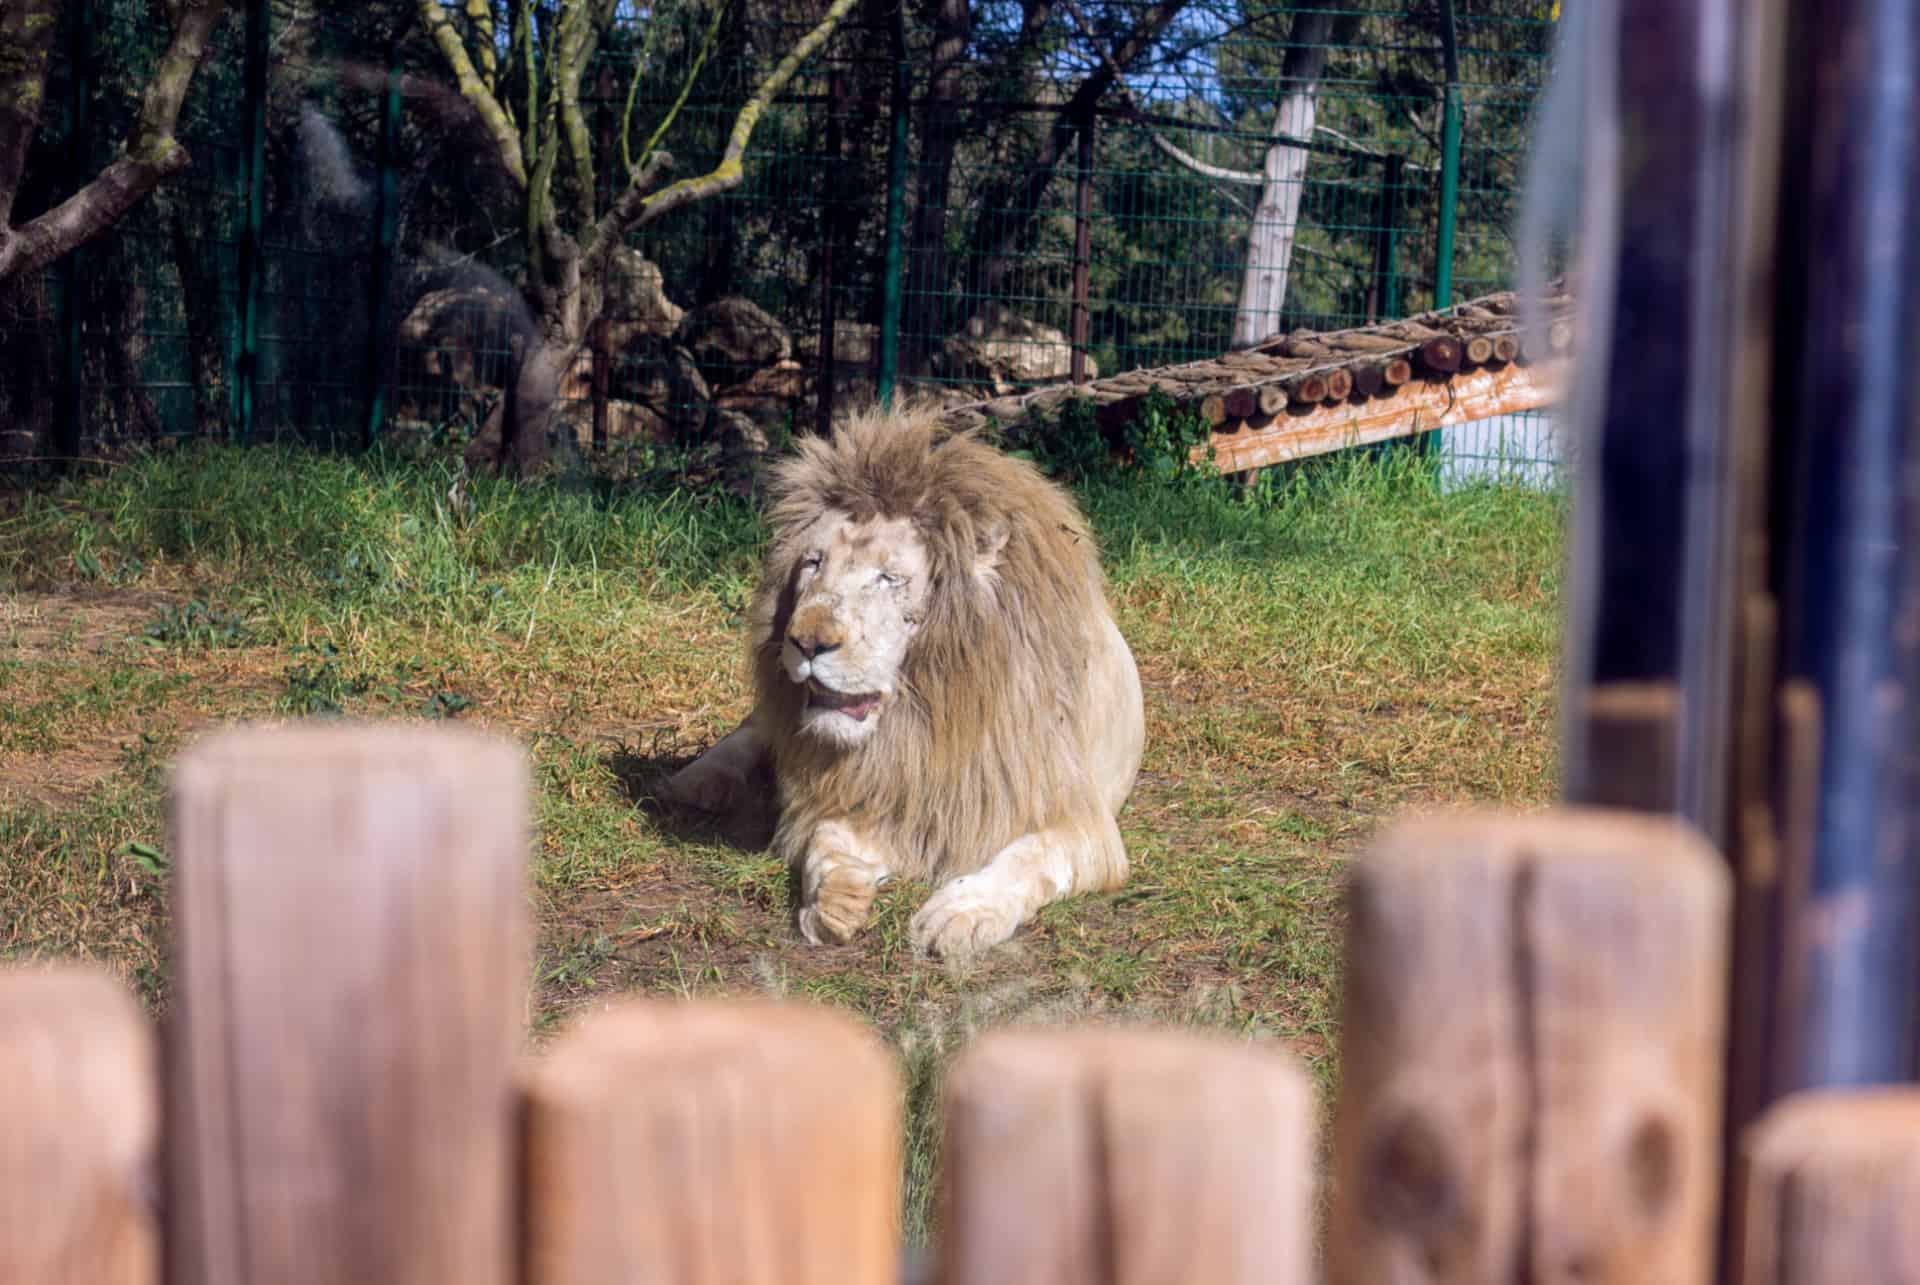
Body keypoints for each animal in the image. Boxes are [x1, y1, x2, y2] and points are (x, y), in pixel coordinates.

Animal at [664, 395, 1136, 956]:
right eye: (813, 564)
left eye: (889, 578)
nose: (807, 641)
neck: (928, 717)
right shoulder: (872, 792)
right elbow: (824, 838)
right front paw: (835, 901)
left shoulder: (1083, 823)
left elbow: (1028, 859)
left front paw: (959, 912)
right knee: (750, 735)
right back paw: (698, 781)